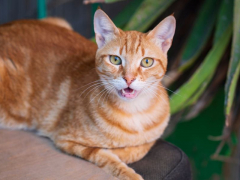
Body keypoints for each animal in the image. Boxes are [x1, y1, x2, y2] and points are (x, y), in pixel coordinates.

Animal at [0, 9, 176, 180]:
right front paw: (127, 171)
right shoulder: (66, 139)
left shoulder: (152, 139)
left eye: (147, 62)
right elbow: (103, 154)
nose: (128, 79)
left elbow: (139, 149)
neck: (135, 112)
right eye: (115, 59)